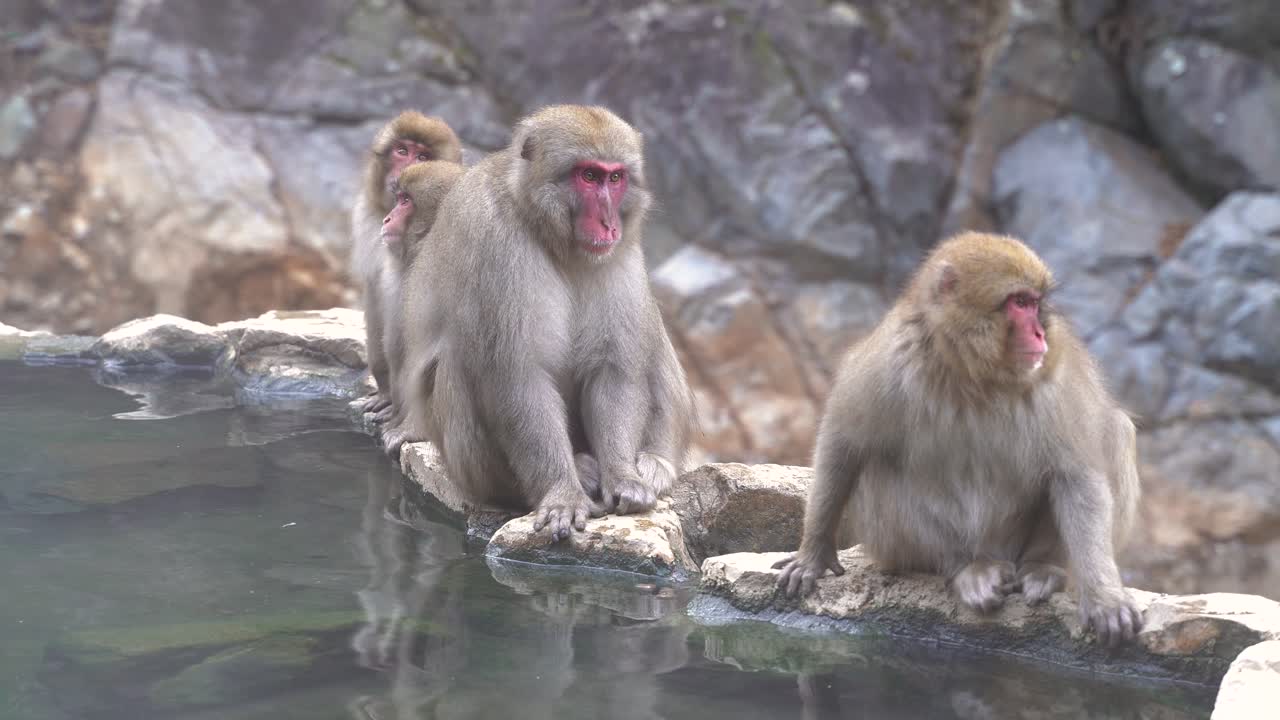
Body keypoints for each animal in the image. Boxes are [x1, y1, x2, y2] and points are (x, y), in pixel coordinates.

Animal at [382, 105, 695, 542]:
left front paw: (623, 476)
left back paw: (651, 463)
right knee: (459, 363)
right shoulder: (497, 243)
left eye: (615, 177)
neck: (549, 233)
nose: (608, 223)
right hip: (469, 468)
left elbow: (612, 369)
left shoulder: (619, 253)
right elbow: (517, 375)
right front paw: (562, 492)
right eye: (588, 176)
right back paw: (570, 473)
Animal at [773, 232, 1142, 646]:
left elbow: (1076, 474)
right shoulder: (889, 359)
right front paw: (814, 554)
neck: (974, 374)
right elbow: (844, 441)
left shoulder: (1054, 381)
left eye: (1035, 303)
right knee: (881, 465)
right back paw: (965, 570)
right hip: (899, 547)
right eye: (1019, 303)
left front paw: (1104, 596)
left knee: (1115, 431)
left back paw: (1042, 567)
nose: (1039, 333)